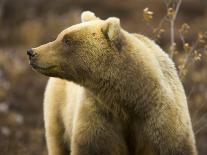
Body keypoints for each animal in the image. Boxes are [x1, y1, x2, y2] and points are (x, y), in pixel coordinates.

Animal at [27, 11, 197, 155]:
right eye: (60, 36)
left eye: (67, 40)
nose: (32, 52)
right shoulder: (100, 116)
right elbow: (94, 147)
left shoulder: (160, 121)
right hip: (57, 110)